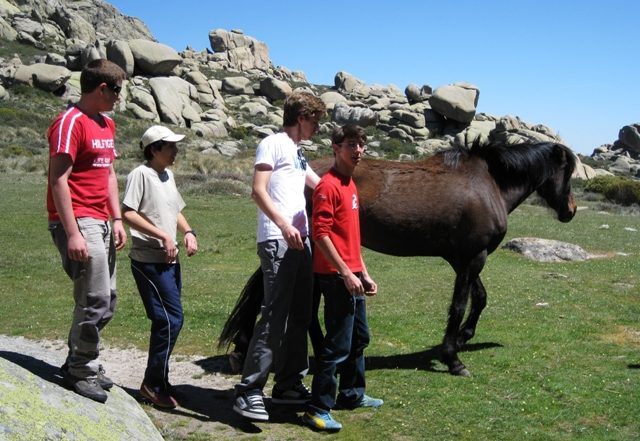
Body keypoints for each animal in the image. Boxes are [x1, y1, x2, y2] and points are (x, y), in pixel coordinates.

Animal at [219, 141, 576, 374]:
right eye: (568, 173)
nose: (570, 211)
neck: (488, 184)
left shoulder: (464, 260)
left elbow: (480, 299)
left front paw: (461, 339)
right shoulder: (474, 257)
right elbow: (460, 305)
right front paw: (452, 357)